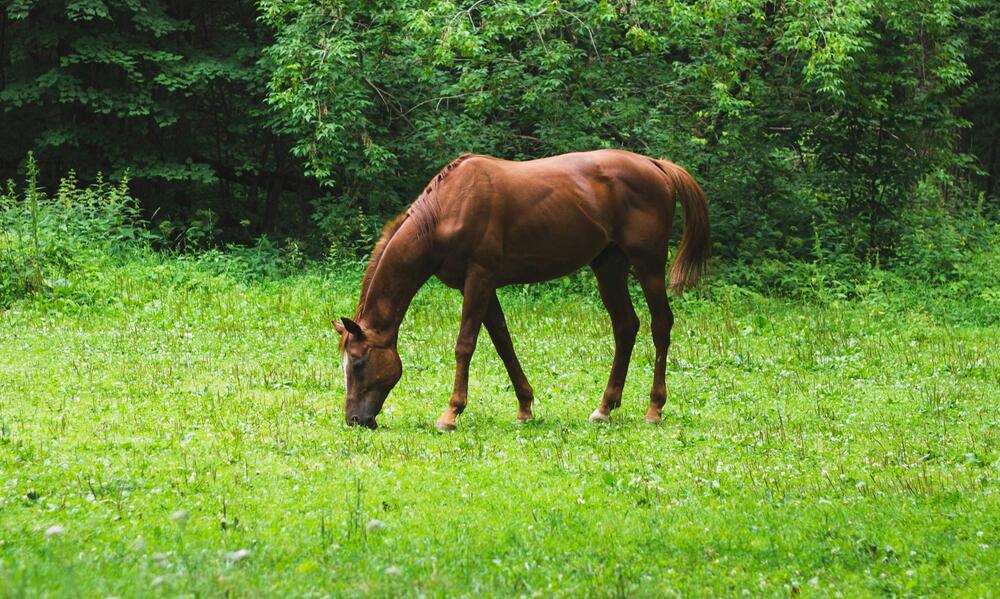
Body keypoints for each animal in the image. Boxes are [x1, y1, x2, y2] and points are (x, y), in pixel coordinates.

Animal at [336, 150, 712, 432]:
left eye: (358, 363)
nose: (355, 419)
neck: (447, 208)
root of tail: (656, 165)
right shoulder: (481, 286)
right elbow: (503, 342)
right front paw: (525, 406)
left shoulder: (479, 279)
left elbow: (465, 345)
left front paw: (450, 413)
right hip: (609, 266)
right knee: (625, 327)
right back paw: (604, 407)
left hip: (649, 265)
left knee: (661, 325)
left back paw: (654, 408)